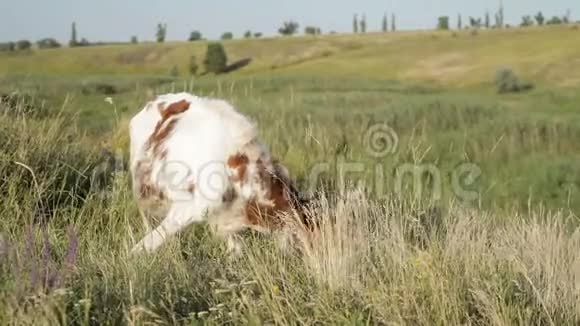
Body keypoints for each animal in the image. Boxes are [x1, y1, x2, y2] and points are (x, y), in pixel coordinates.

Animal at [129, 92, 310, 255]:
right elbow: (155, 237)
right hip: (141, 180)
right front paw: (133, 255)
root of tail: (157, 100)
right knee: (145, 213)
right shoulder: (191, 206)